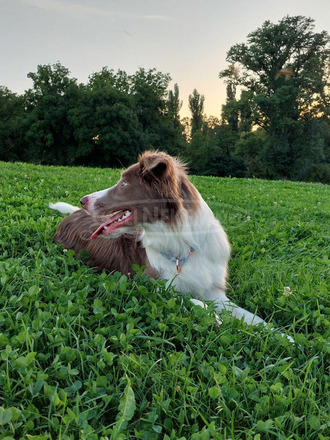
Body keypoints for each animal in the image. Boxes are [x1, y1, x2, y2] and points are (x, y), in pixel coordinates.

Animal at [50, 151, 292, 340]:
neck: (182, 245)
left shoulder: (215, 292)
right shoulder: (151, 285)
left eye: (124, 183)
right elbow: (190, 299)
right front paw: (211, 316)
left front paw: (283, 336)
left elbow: (252, 317)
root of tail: (74, 214)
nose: (83, 200)